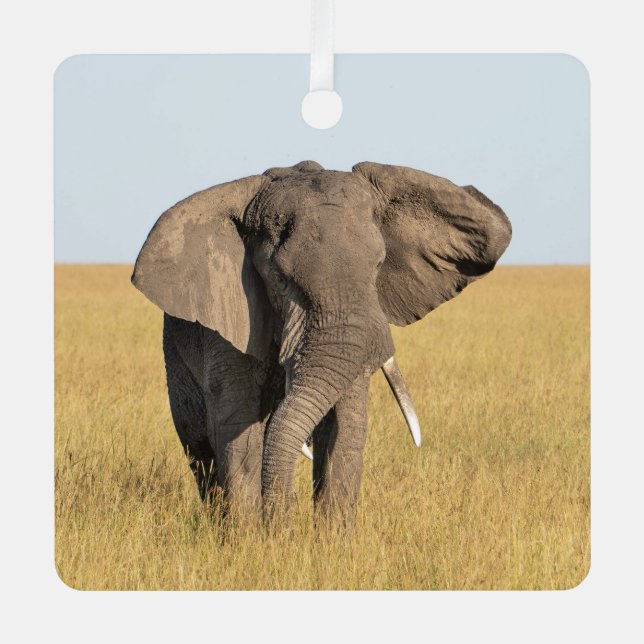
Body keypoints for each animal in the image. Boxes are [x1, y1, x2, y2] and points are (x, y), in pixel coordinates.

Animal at [132, 160, 511, 522]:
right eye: (279, 280)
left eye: (377, 267)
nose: (283, 519)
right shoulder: (230, 316)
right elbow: (236, 426)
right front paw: (253, 538)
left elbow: (345, 427)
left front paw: (330, 540)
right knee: (200, 448)